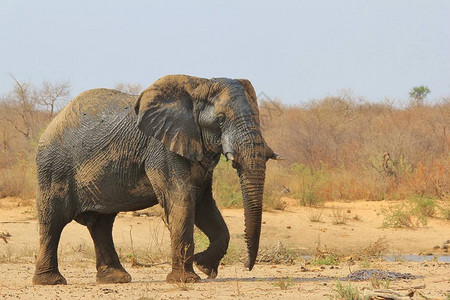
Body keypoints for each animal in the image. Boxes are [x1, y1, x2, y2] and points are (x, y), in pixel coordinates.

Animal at [32, 74, 282, 284]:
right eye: (220, 119)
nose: (247, 266)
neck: (199, 84)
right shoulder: (162, 149)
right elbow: (181, 201)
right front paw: (187, 280)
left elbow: (204, 205)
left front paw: (204, 267)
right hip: (54, 167)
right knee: (53, 221)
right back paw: (51, 282)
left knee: (101, 223)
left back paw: (116, 279)